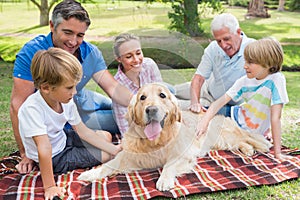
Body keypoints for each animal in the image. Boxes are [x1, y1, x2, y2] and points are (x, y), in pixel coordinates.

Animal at [78, 82, 272, 191]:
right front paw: (91, 173)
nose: (151, 110)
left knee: (247, 137)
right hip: (221, 142)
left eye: (162, 95)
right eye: (142, 98)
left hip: (225, 134)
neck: (155, 142)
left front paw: (164, 180)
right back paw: (248, 150)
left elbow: (168, 165)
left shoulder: (183, 154)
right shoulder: (129, 156)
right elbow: (109, 164)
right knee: (241, 142)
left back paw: (260, 146)